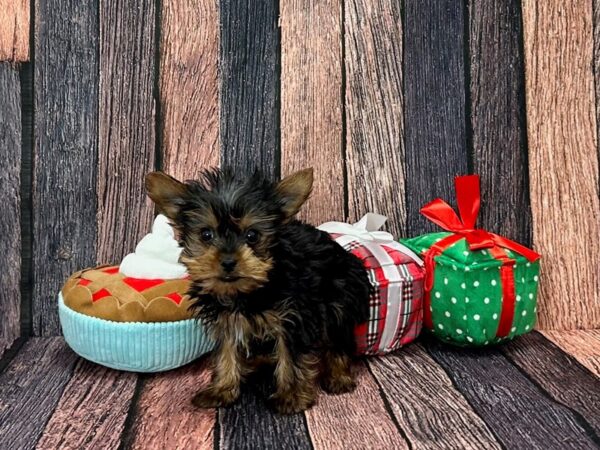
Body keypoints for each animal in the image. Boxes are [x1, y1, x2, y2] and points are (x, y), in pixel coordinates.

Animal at [145, 168, 370, 414]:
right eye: (206, 235)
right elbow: (226, 351)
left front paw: (291, 395)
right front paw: (222, 388)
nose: (228, 261)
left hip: (339, 298)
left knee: (338, 339)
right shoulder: (226, 319)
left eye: (252, 235)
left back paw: (338, 376)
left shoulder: (294, 317)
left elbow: (291, 356)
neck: (248, 291)